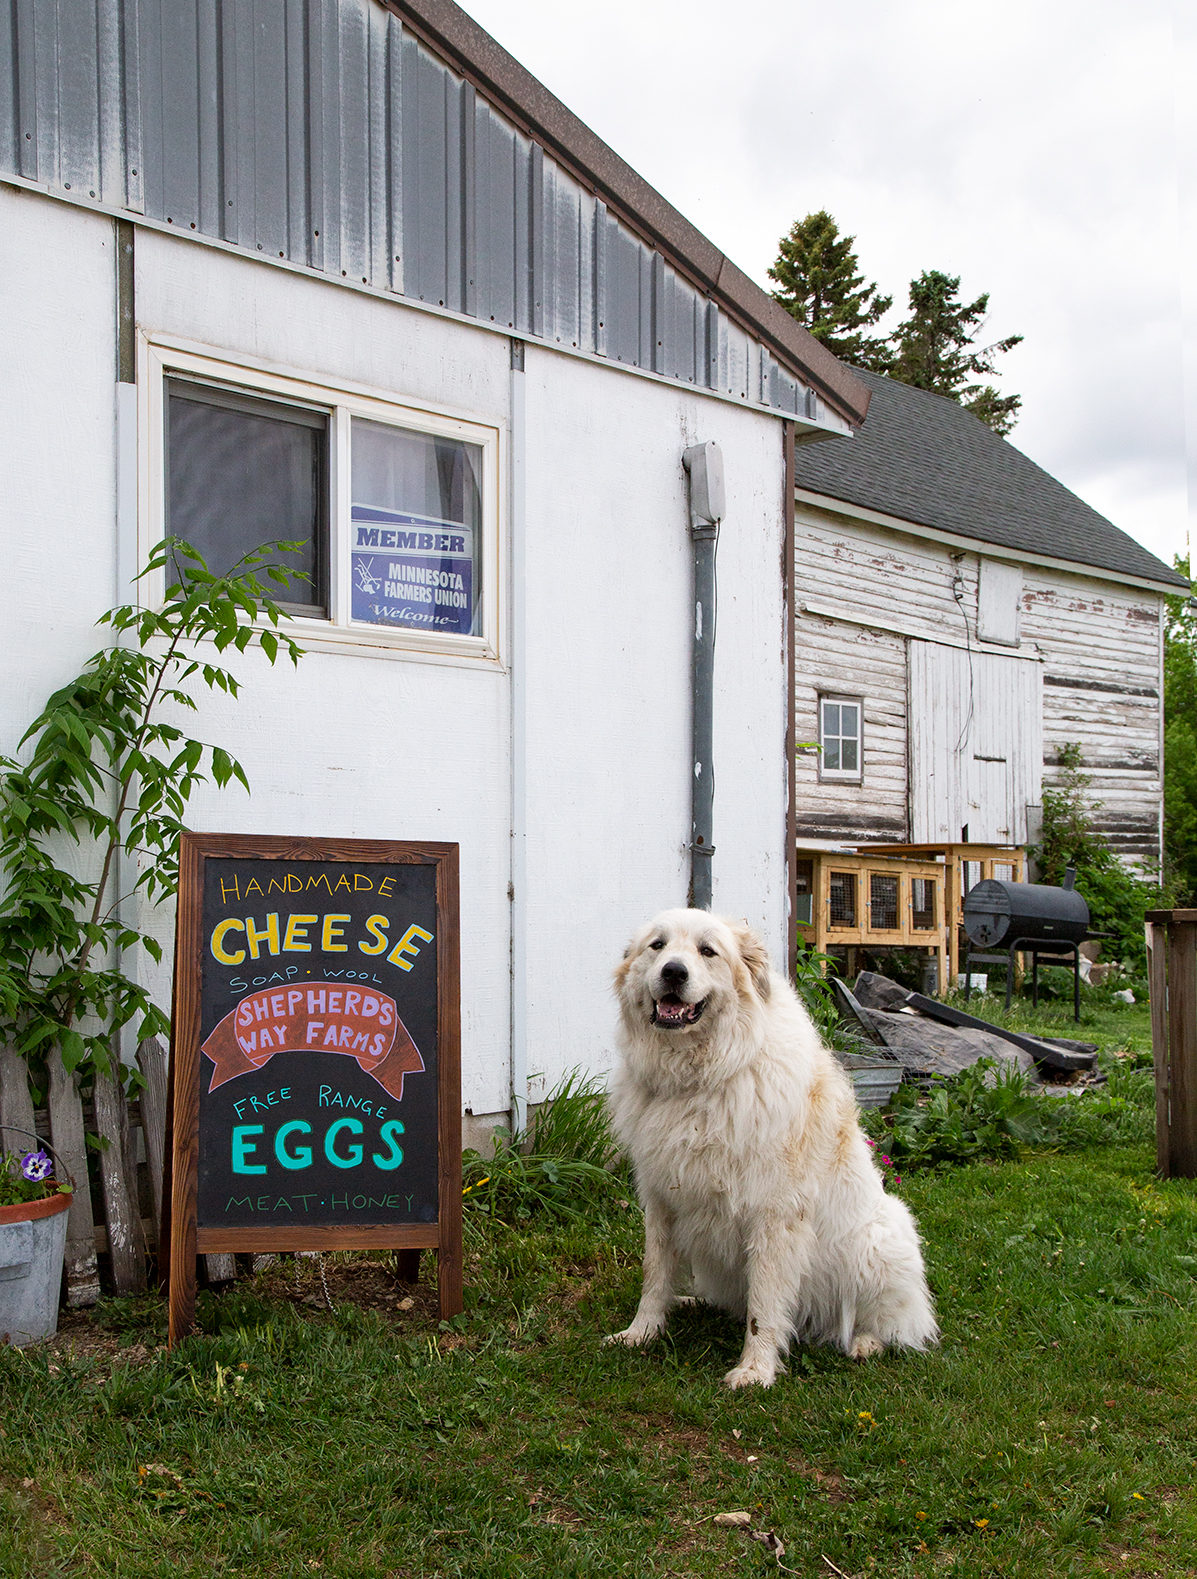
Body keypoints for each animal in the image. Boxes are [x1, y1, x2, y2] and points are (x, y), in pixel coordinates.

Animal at [609, 909, 934, 1389]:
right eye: (658, 946)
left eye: (708, 951)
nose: (673, 972)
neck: (700, 1082)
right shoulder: (663, 1200)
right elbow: (655, 1274)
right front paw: (642, 1332)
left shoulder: (772, 1215)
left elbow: (764, 1303)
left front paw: (755, 1369)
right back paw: (691, 1302)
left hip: (880, 1236)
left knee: (894, 1322)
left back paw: (866, 1342)